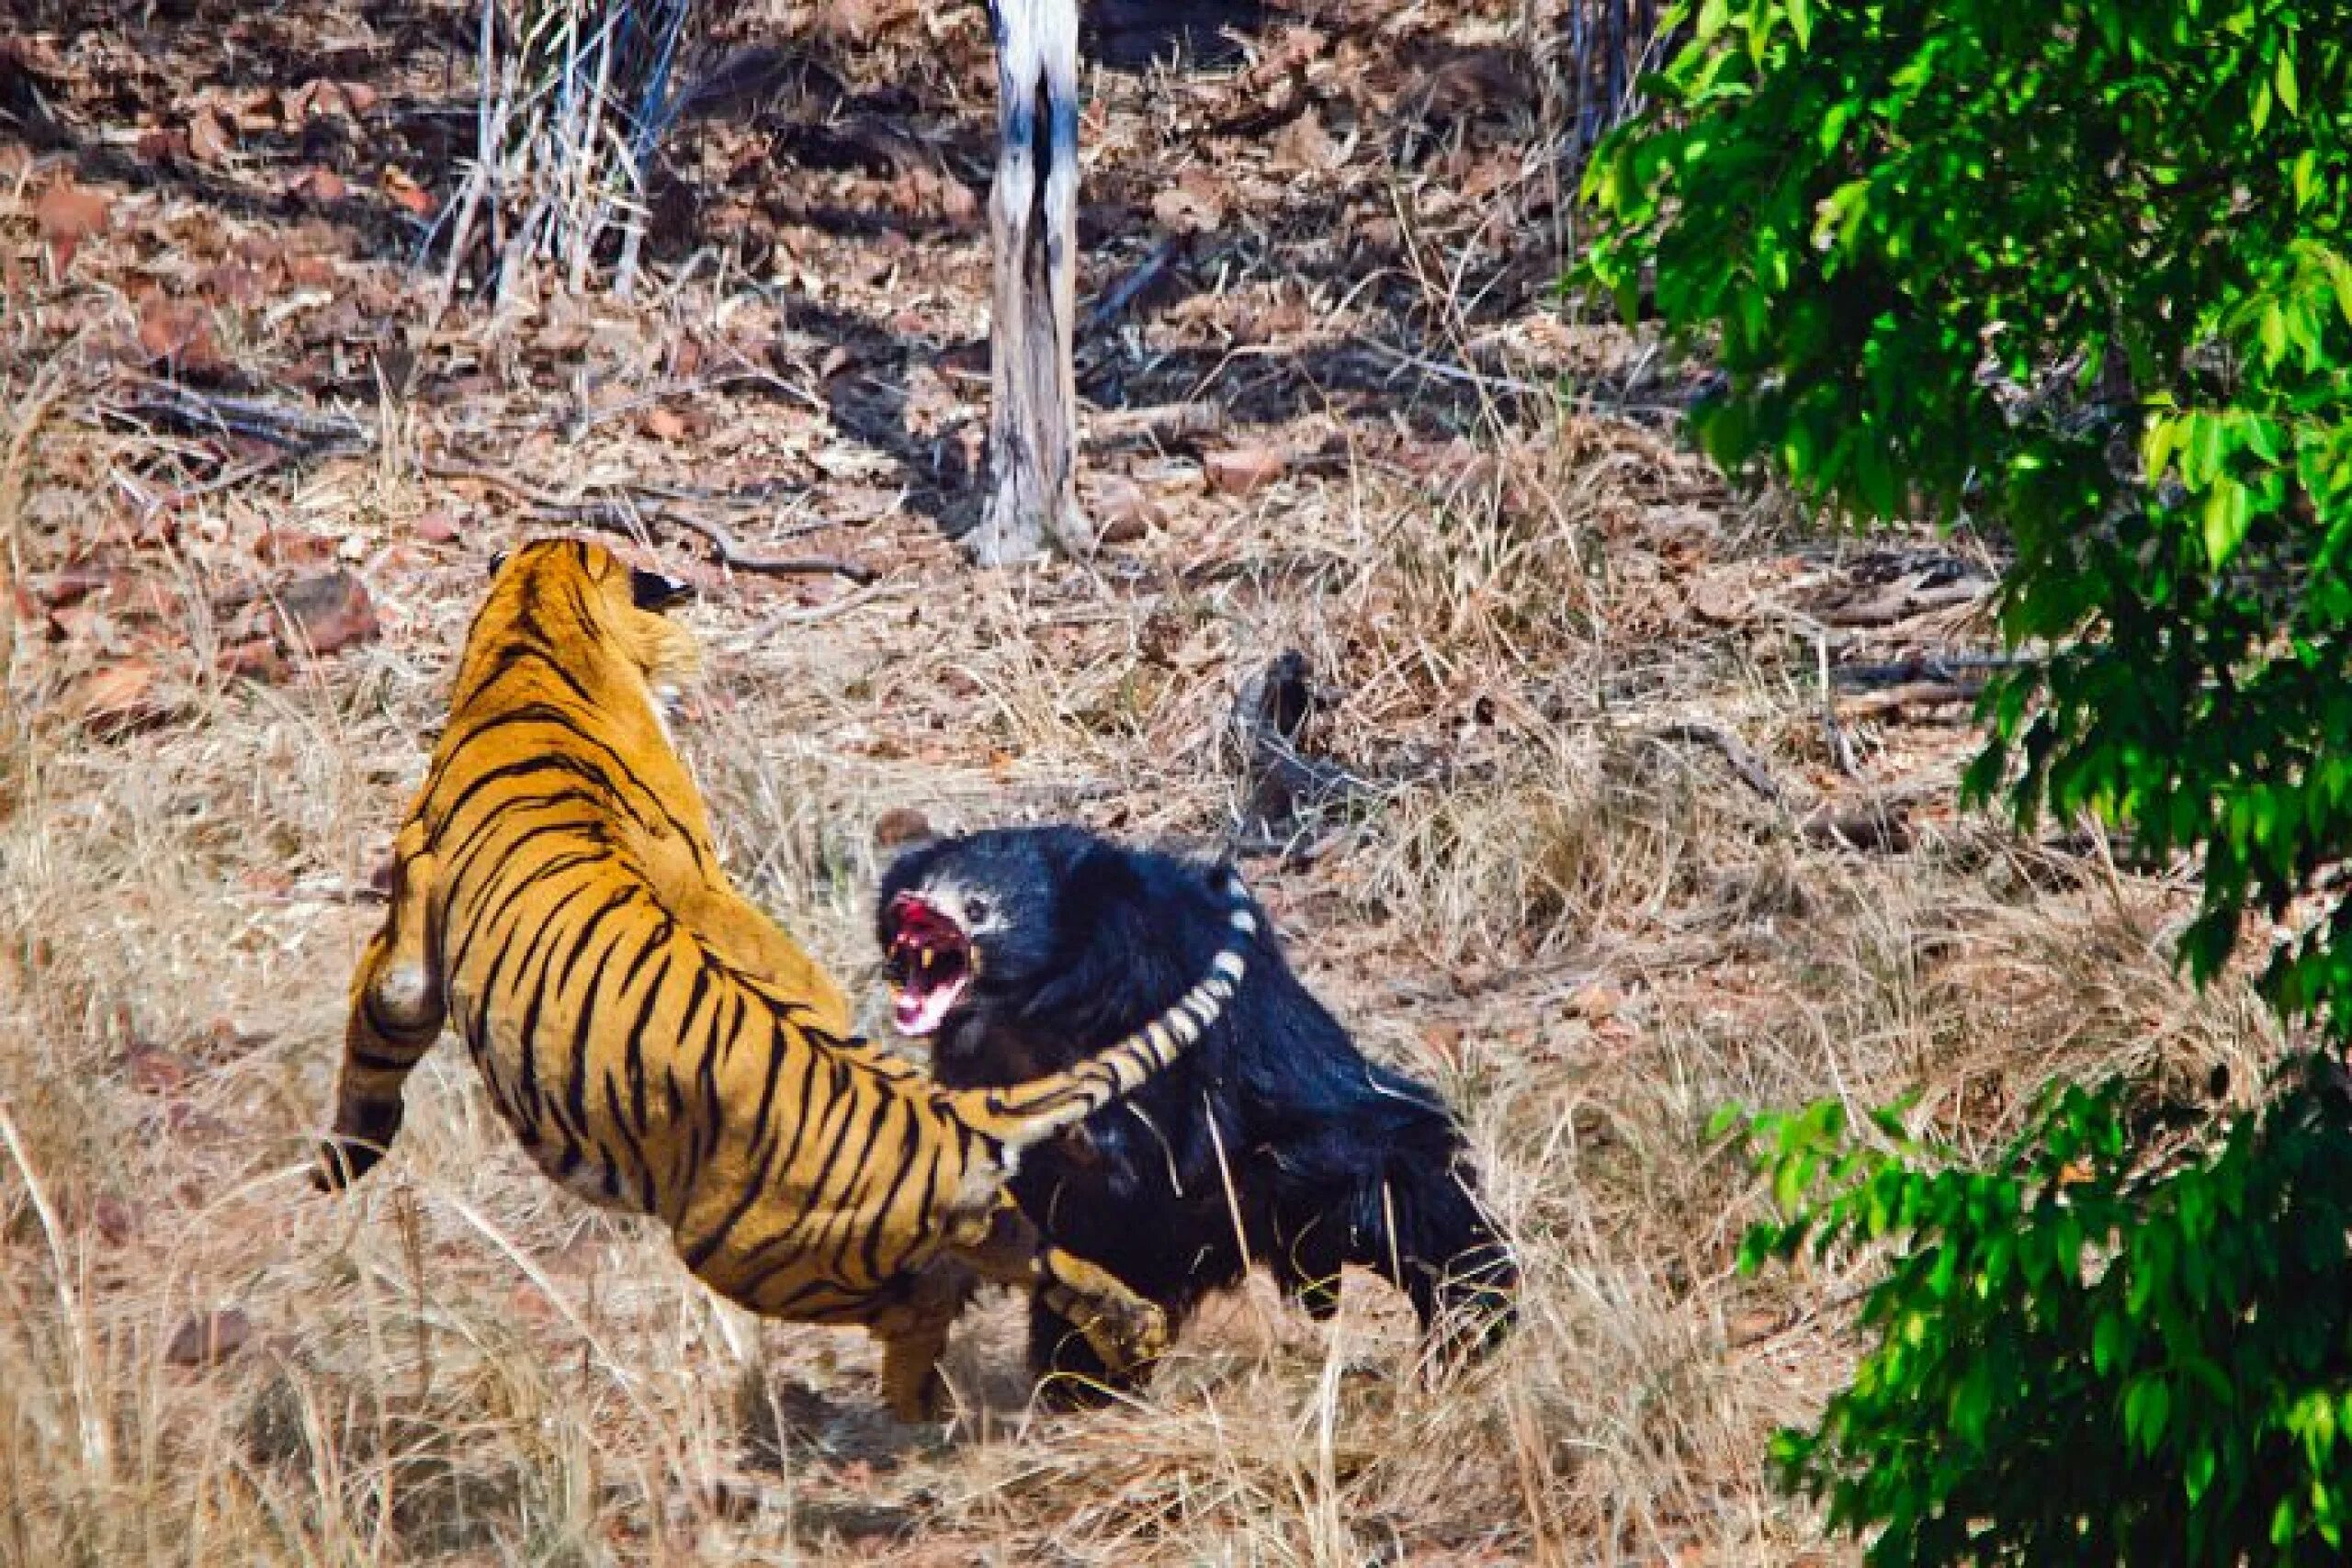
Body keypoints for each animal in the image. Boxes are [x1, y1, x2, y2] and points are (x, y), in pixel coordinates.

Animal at [326, 543, 1270, 1419]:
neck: (538, 627)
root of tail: (947, 1112)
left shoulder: (410, 929)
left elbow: (381, 1019)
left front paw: (346, 1156)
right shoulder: (703, 876)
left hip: (745, 1252)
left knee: (925, 1300)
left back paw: (915, 1401)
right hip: (965, 1223)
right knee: (1039, 1256)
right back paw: (1127, 1328)